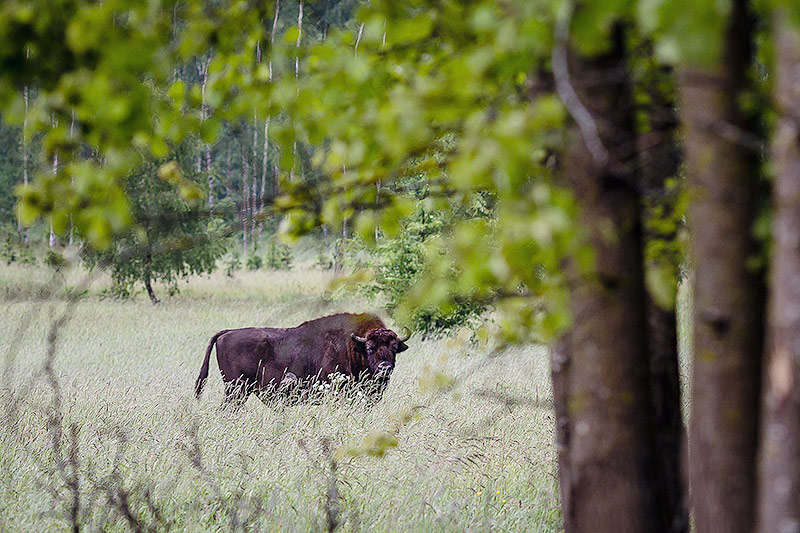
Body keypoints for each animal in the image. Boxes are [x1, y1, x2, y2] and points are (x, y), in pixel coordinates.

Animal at [192, 310, 406, 406]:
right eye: (370, 348)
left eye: (394, 348)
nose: (385, 368)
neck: (352, 345)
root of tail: (227, 333)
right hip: (236, 390)